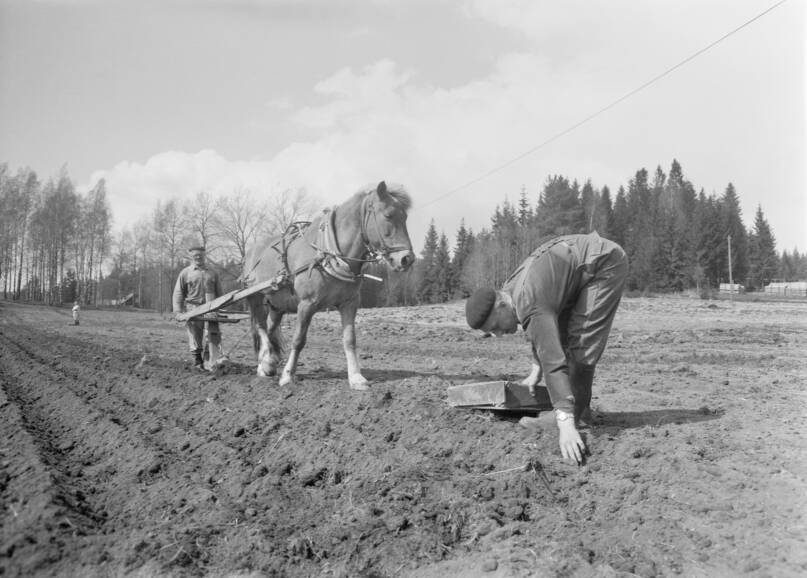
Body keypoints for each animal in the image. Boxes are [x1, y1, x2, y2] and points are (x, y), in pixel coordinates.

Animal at [243, 180, 414, 388]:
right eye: (388, 215)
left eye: (405, 217)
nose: (407, 259)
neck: (330, 255)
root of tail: (252, 250)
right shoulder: (306, 304)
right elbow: (298, 340)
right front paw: (288, 375)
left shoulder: (349, 303)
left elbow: (350, 339)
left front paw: (356, 377)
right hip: (254, 296)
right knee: (260, 327)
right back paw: (266, 362)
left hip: (277, 303)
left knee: (270, 327)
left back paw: (266, 364)